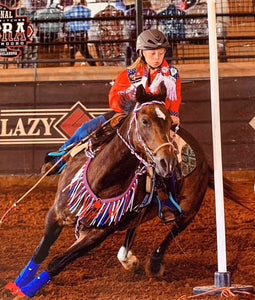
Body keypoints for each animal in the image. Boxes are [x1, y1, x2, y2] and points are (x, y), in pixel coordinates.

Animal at [5, 84, 231, 298]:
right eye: (145, 121)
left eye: (169, 123)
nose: (168, 162)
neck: (101, 180)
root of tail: (203, 159)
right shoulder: (56, 214)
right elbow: (41, 252)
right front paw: (16, 286)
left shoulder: (99, 233)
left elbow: (57, 262)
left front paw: (26, 292)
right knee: (133, 230)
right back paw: (130, 260)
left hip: (188, 211)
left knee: (173, 232)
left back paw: (153, 264)